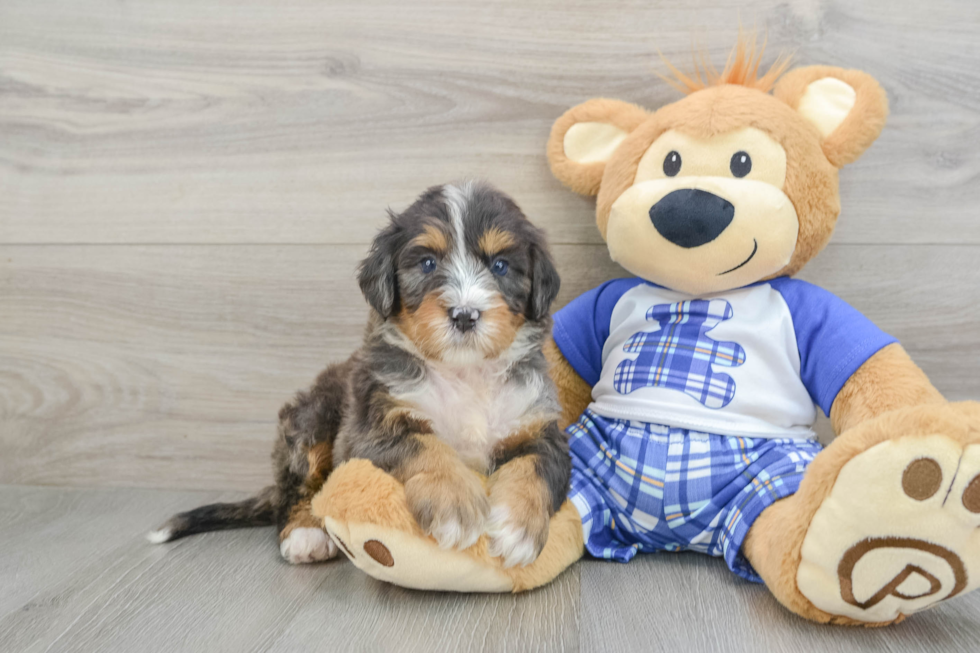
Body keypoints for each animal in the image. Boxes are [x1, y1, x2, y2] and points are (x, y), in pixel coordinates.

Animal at [149, 181, 572, 568]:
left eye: (500, 265)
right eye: (427, 263)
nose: (465, 315)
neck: (463, 373)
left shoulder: (540, 427)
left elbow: (536, 468)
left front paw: (518, 528)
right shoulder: (371, 428)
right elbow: (423, 443)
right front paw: (455, 504)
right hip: (310, 421)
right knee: (297, 491)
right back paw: (305, 534)